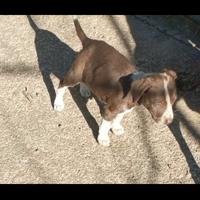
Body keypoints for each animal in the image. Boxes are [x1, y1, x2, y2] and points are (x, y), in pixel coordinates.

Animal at [54, 16, 177, 147]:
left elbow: (119, 117)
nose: (169, 121)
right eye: (158, 102)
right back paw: (58, 103)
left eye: (173, 101)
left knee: (84, 80)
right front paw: (103, 138)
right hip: (75, 73)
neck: (134, 94)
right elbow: (105, 125)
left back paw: (85, 90)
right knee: (62, 84)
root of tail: (90, 42)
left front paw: (116, 128)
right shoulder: (109, 111)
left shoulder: (124, 108)